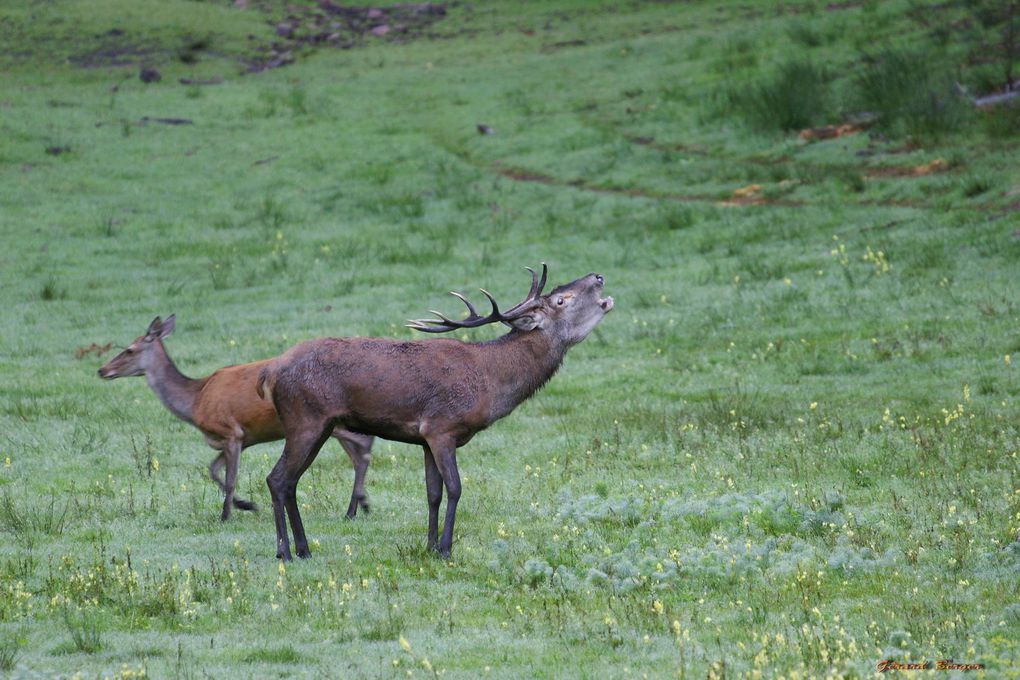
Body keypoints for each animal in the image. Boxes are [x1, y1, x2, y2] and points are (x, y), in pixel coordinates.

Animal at [95, 318, 373, 521]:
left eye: (129, 350)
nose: (102, 370)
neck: (195, 401)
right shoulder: (240, 439)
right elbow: (213, 470)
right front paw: (245, 504)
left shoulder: (231, 432)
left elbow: (228, 479)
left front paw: (228, 514)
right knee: (360, 453)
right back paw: (360, 504)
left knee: (363, 448)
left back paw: (358, 505)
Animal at [259, 265, 607, 558]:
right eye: (561, 299)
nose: (598, 276)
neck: (489, 383)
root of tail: (271, 372)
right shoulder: (442, 428)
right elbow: (454, 487)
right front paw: (445, 549)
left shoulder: (425, 439)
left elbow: (432, 493)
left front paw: (428, 546)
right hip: (305, 419)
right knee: (277, 478)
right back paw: (284, 552)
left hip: (322, 426)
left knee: (291, 481)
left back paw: (304, 549)